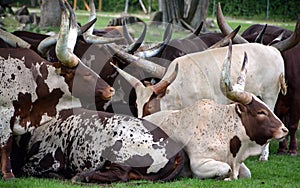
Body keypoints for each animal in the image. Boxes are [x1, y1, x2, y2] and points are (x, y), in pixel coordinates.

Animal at [144, 42, 290, 179]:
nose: (284, 130)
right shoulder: (198, 164)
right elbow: (226, 168)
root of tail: (272, 49)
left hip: (270, 95)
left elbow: (246, 172)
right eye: (260, 112)